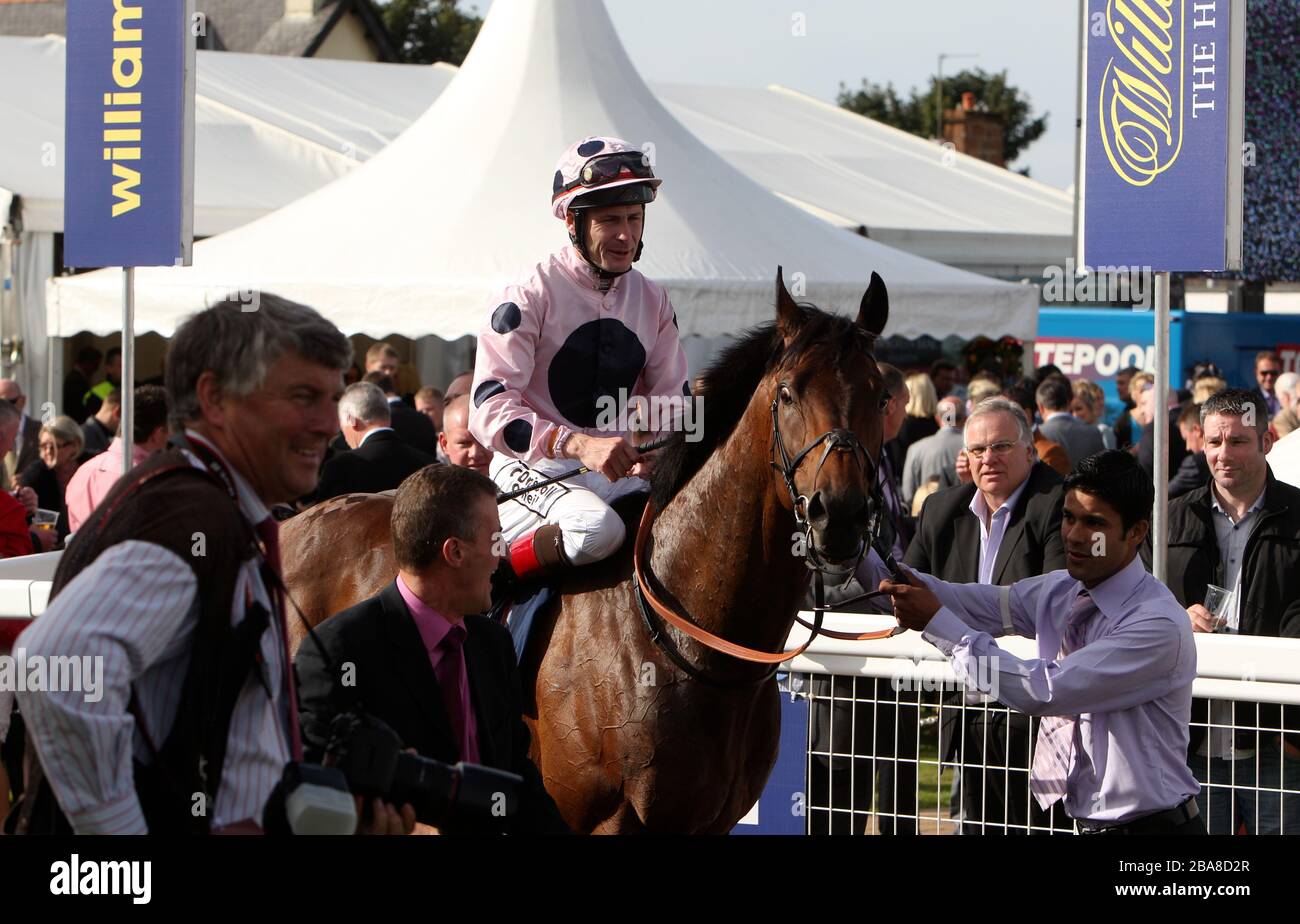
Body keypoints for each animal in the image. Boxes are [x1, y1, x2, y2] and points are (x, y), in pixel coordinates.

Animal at [282, 269, 894, 836]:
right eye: (788, 392)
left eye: (881, 394)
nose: (839, 515)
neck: (691, 643)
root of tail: (290, 522)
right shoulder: (600, 819)